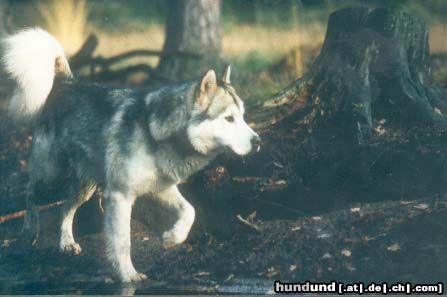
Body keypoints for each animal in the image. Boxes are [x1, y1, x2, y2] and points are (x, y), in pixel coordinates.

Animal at [3, 28, 260, 280]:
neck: (158, 134)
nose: (257, 141)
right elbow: (123, 241)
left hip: (85, 188)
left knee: (65, 209)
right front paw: (128, 275)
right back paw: (29, 233)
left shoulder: (161, 188)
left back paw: (66, 243)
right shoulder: (121, 195)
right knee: (30, 195)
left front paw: (171, 239)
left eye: (243, 117)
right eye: (229, 118)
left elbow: (190, 211)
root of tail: (66, 82)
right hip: (50, 180)